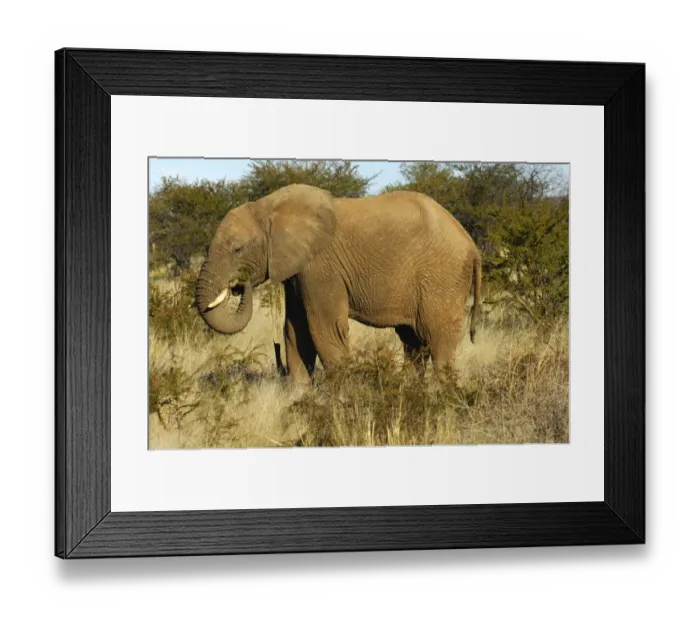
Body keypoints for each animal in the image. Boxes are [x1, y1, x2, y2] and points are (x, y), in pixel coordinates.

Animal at [195, 183, 482, 380]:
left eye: (237, 249)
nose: (238, 284)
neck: (268, 207)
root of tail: (471, 244)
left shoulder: (321, 267)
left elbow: (324, 330)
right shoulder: (299, 269)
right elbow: (295, 330)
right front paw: (300, 395)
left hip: (443, 277)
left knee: (438, 342)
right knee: (413, 342)